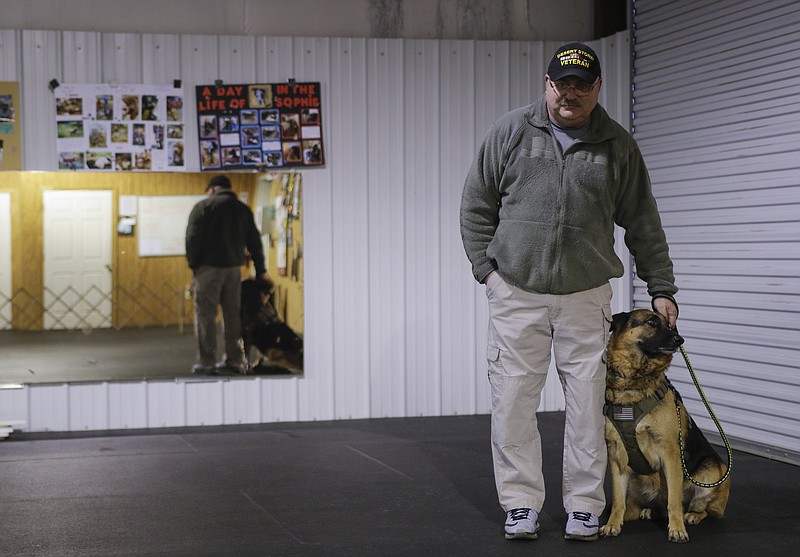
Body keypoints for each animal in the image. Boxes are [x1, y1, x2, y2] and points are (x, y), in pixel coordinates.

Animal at [600, 306, 732, 540]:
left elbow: (674, 501)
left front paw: (677, 529)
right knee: (638, 506)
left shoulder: (670, 454)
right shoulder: (616, 455)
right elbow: (617, 500)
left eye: (670, 325)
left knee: (703, 508)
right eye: (652, 322)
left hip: (713, 473)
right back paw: (646, 511)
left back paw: (693, 515)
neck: (635, 384)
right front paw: (612, 524)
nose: (680, 339)